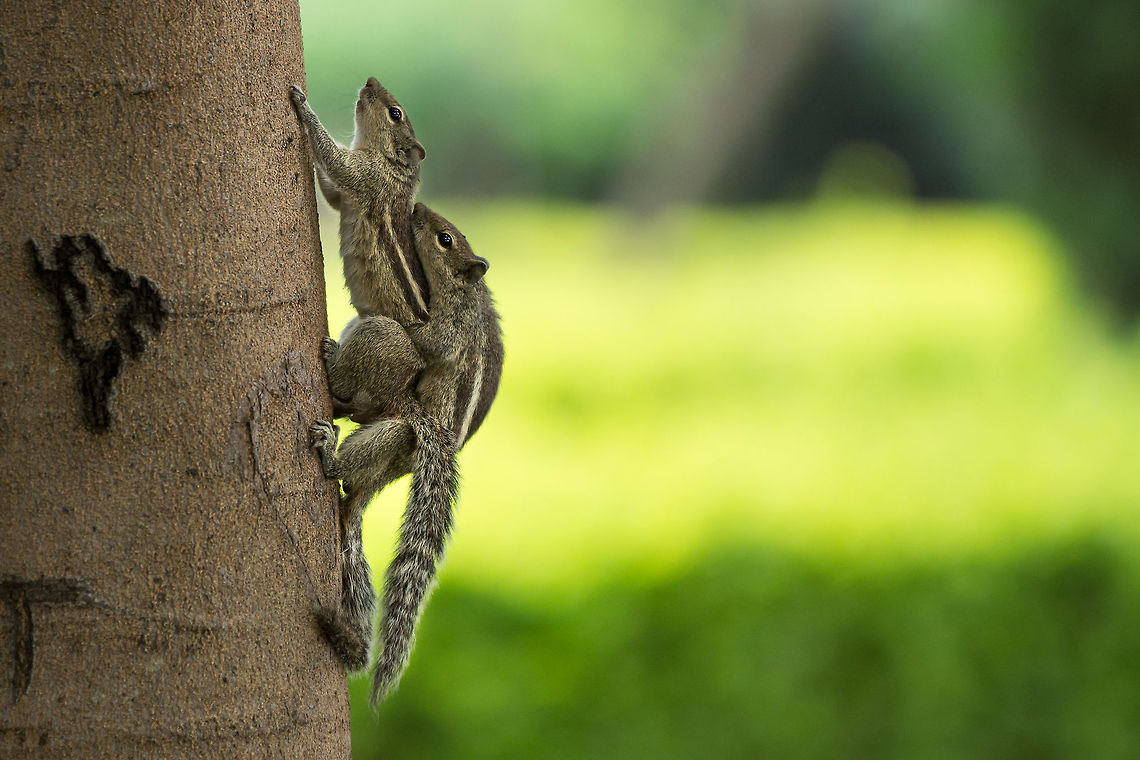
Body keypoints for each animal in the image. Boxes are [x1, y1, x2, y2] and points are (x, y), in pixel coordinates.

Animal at [309, 204, 503, 704]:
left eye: (445, 239)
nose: (416, 209)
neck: (466, 292)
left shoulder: (449, 329)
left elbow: (428, 339)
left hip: (397, 430)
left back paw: (331, 448)